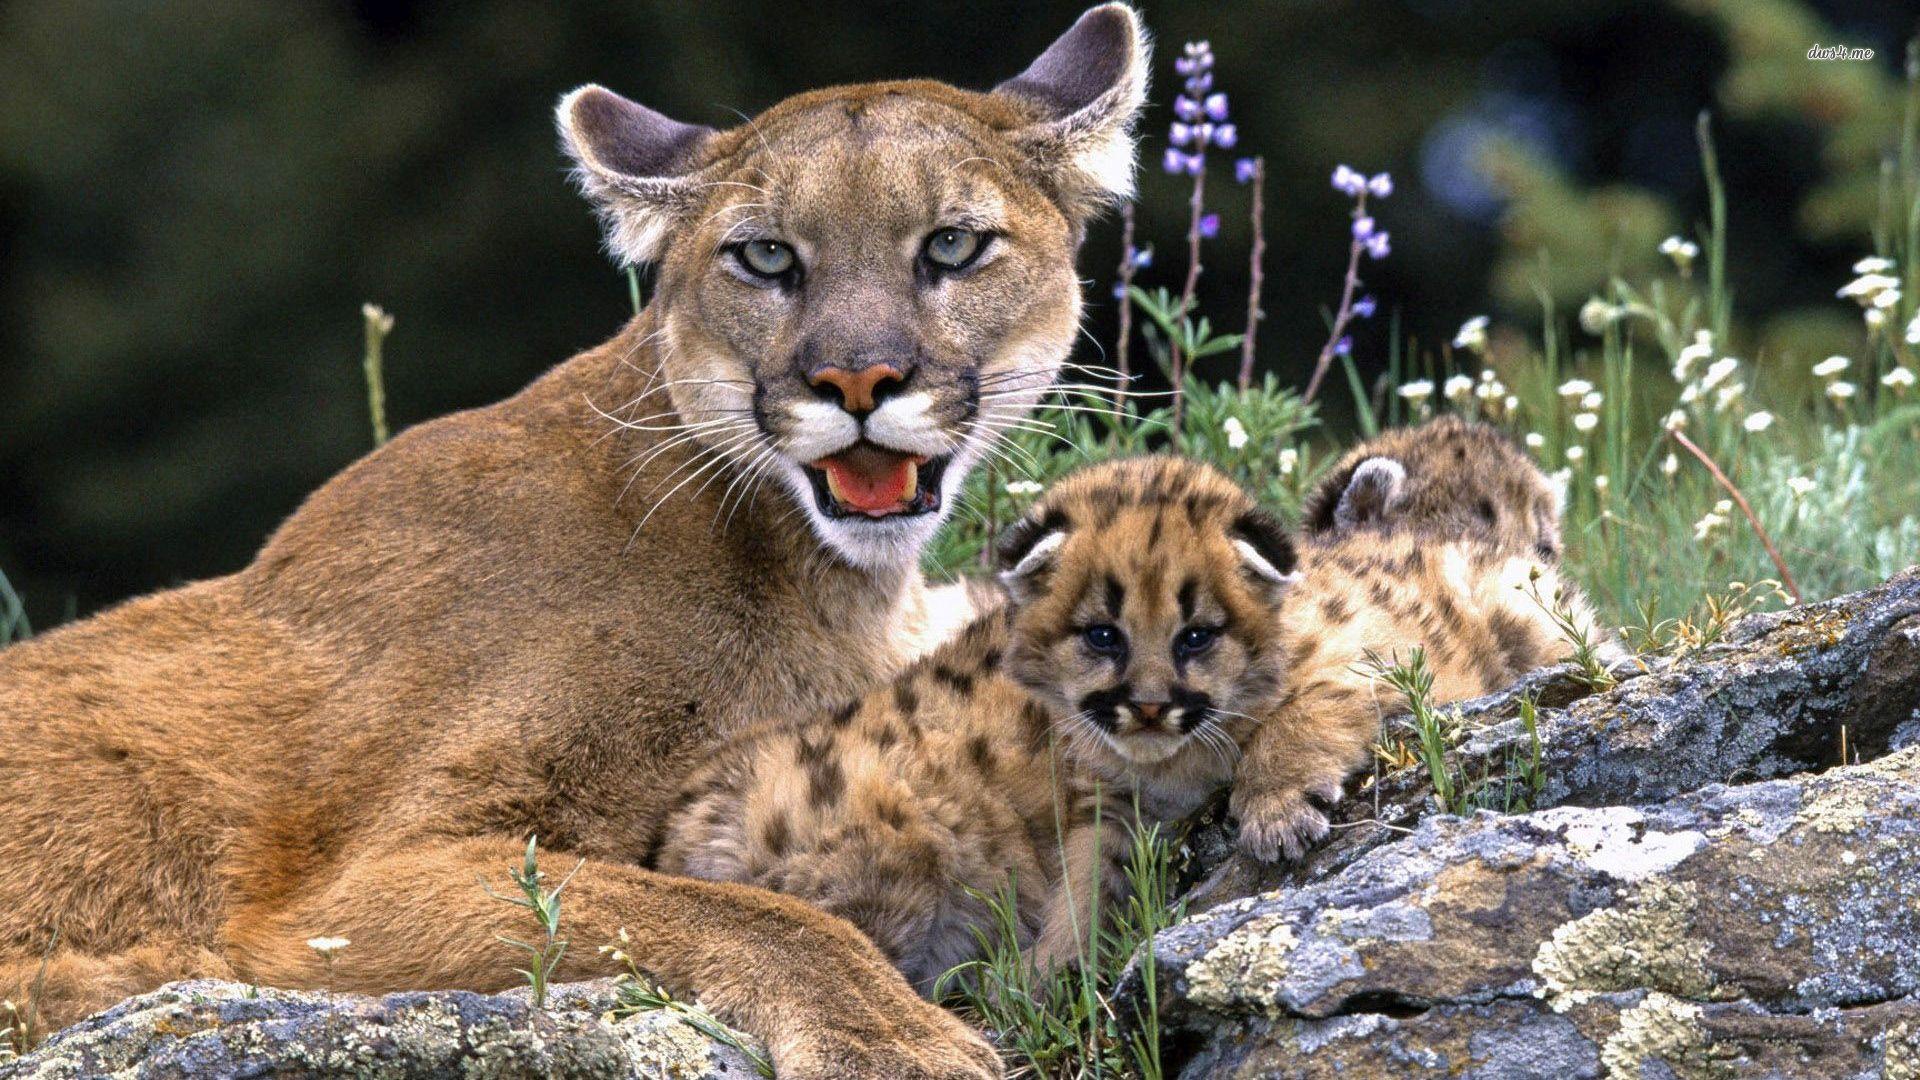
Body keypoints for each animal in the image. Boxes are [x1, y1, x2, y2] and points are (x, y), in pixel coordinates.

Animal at [0, 7, 1148, 1077]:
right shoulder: (352, 892)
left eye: (952, 244)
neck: (817, 578)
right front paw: (895, 1038)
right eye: (766, 256)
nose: (857, 378)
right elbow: (744, 913)